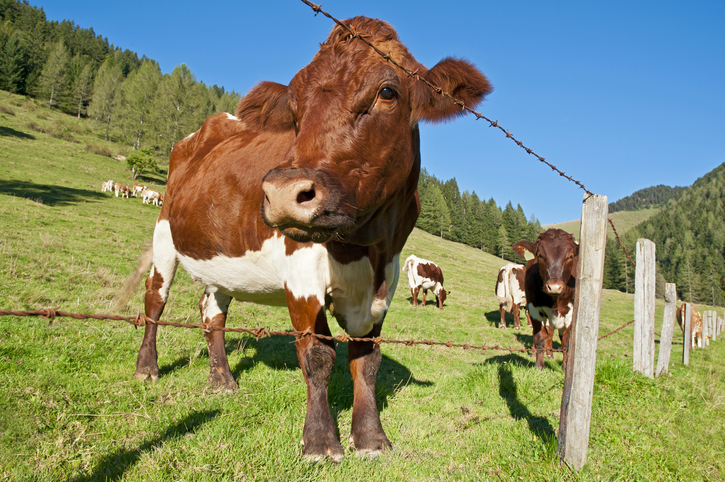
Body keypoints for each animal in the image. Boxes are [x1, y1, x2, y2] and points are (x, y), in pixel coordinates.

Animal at [131, 16, 492, 464]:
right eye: (294, 106)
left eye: (387, 91)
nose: (283, 192)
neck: (365, 245)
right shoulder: (301, 273)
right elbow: (318, 355)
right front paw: (320, 442)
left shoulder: (386, 280)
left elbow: (367, 359)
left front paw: (370, 438)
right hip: (165, 232)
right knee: (155, 299)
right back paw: (148, 367)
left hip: (221, 258)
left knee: (212, 312)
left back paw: (222, 380)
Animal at [512, 228, 580, 370]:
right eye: (540, 256)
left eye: (570, 256)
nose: (554, 287)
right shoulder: (533, 308)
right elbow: (539, 337)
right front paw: (539, 366)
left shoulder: (571, 311)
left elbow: (566, 341)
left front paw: (565, 367)